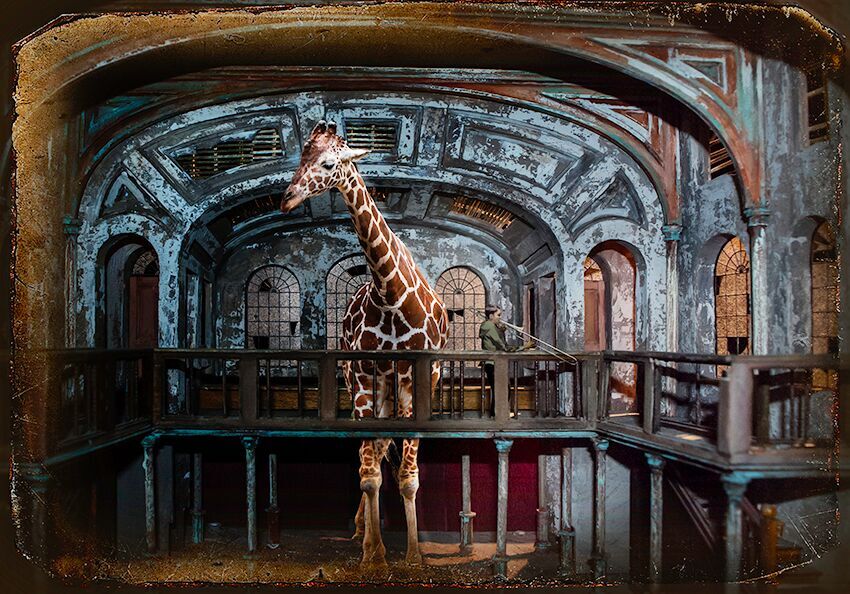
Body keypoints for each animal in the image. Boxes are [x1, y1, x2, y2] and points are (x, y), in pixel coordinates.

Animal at [281, 120, 448, 569]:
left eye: (328, 163)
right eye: (300, 157)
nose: (287, 199)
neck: (390, 294)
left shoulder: (414, 377)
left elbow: (408, 475)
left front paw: (413, 556)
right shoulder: (362, 374)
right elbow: (370, 470)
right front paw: (374, 554)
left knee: (383, 448)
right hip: (365, 383)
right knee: (370, 454)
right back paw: (361, 531)